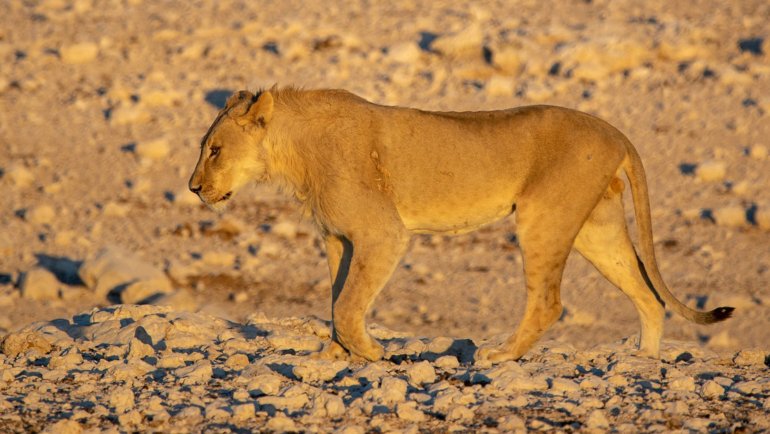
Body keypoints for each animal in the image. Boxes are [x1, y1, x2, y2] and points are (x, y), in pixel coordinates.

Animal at [188, 86, 732, 362]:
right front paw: (337, 356)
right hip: (597, 228)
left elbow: (347, 304)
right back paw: (646, 360)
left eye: (214, 150)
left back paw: (499, 356)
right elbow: (338, 298)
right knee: (648, 295)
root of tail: (615, 130)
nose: (193, 188)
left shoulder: (383, 233)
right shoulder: (338, 238)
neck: (294, 153)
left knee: (549, 302)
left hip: (543, 218)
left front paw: (373, 352)